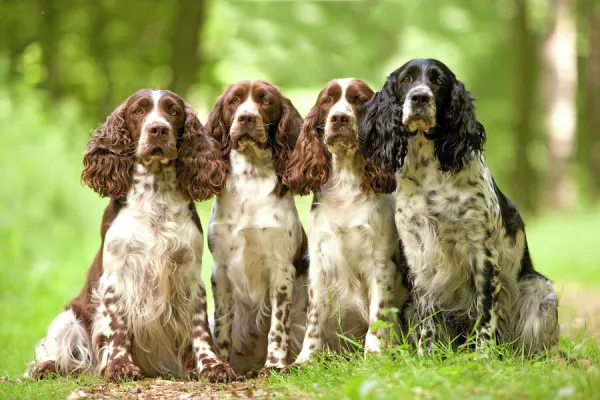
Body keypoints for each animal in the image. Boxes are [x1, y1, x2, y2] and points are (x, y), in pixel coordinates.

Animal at [25, 89, 238, 382]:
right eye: (138, 111)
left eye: (173, 111)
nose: (158, 129)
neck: (155, 197)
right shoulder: (116, 276)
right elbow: (117, 325)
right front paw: (119, 366)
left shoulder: (189, 274)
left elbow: (199, 327)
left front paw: (211, 366)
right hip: (68, 317)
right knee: (62, 353)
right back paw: (49, 367)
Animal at [206, 79, 310, 376]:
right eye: (234, 101)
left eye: (265, 101)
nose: (246, 118)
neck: (251, 179)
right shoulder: (221, 269)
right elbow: (222, 326)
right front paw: (222, 365)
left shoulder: (281, 268)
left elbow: (277, 326)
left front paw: (274, 364)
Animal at [284, 79, 410, 362]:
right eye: (327, 101)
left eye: (359, 100)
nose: (339, 117)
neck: (346, 183)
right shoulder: (319, 261)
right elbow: (314, 318)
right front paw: (306, 358)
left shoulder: (380, 262)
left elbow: (378, 314)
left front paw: (374, 354)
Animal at [358, 58, 560, 354]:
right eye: (406, 80)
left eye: (438, 81)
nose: (420, 97)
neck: (429, 175)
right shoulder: (418, 253)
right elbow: (426, 316)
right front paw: (425, 355)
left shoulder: (482, 252)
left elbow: (486, 312)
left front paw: (483, 355)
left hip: (539, 289)